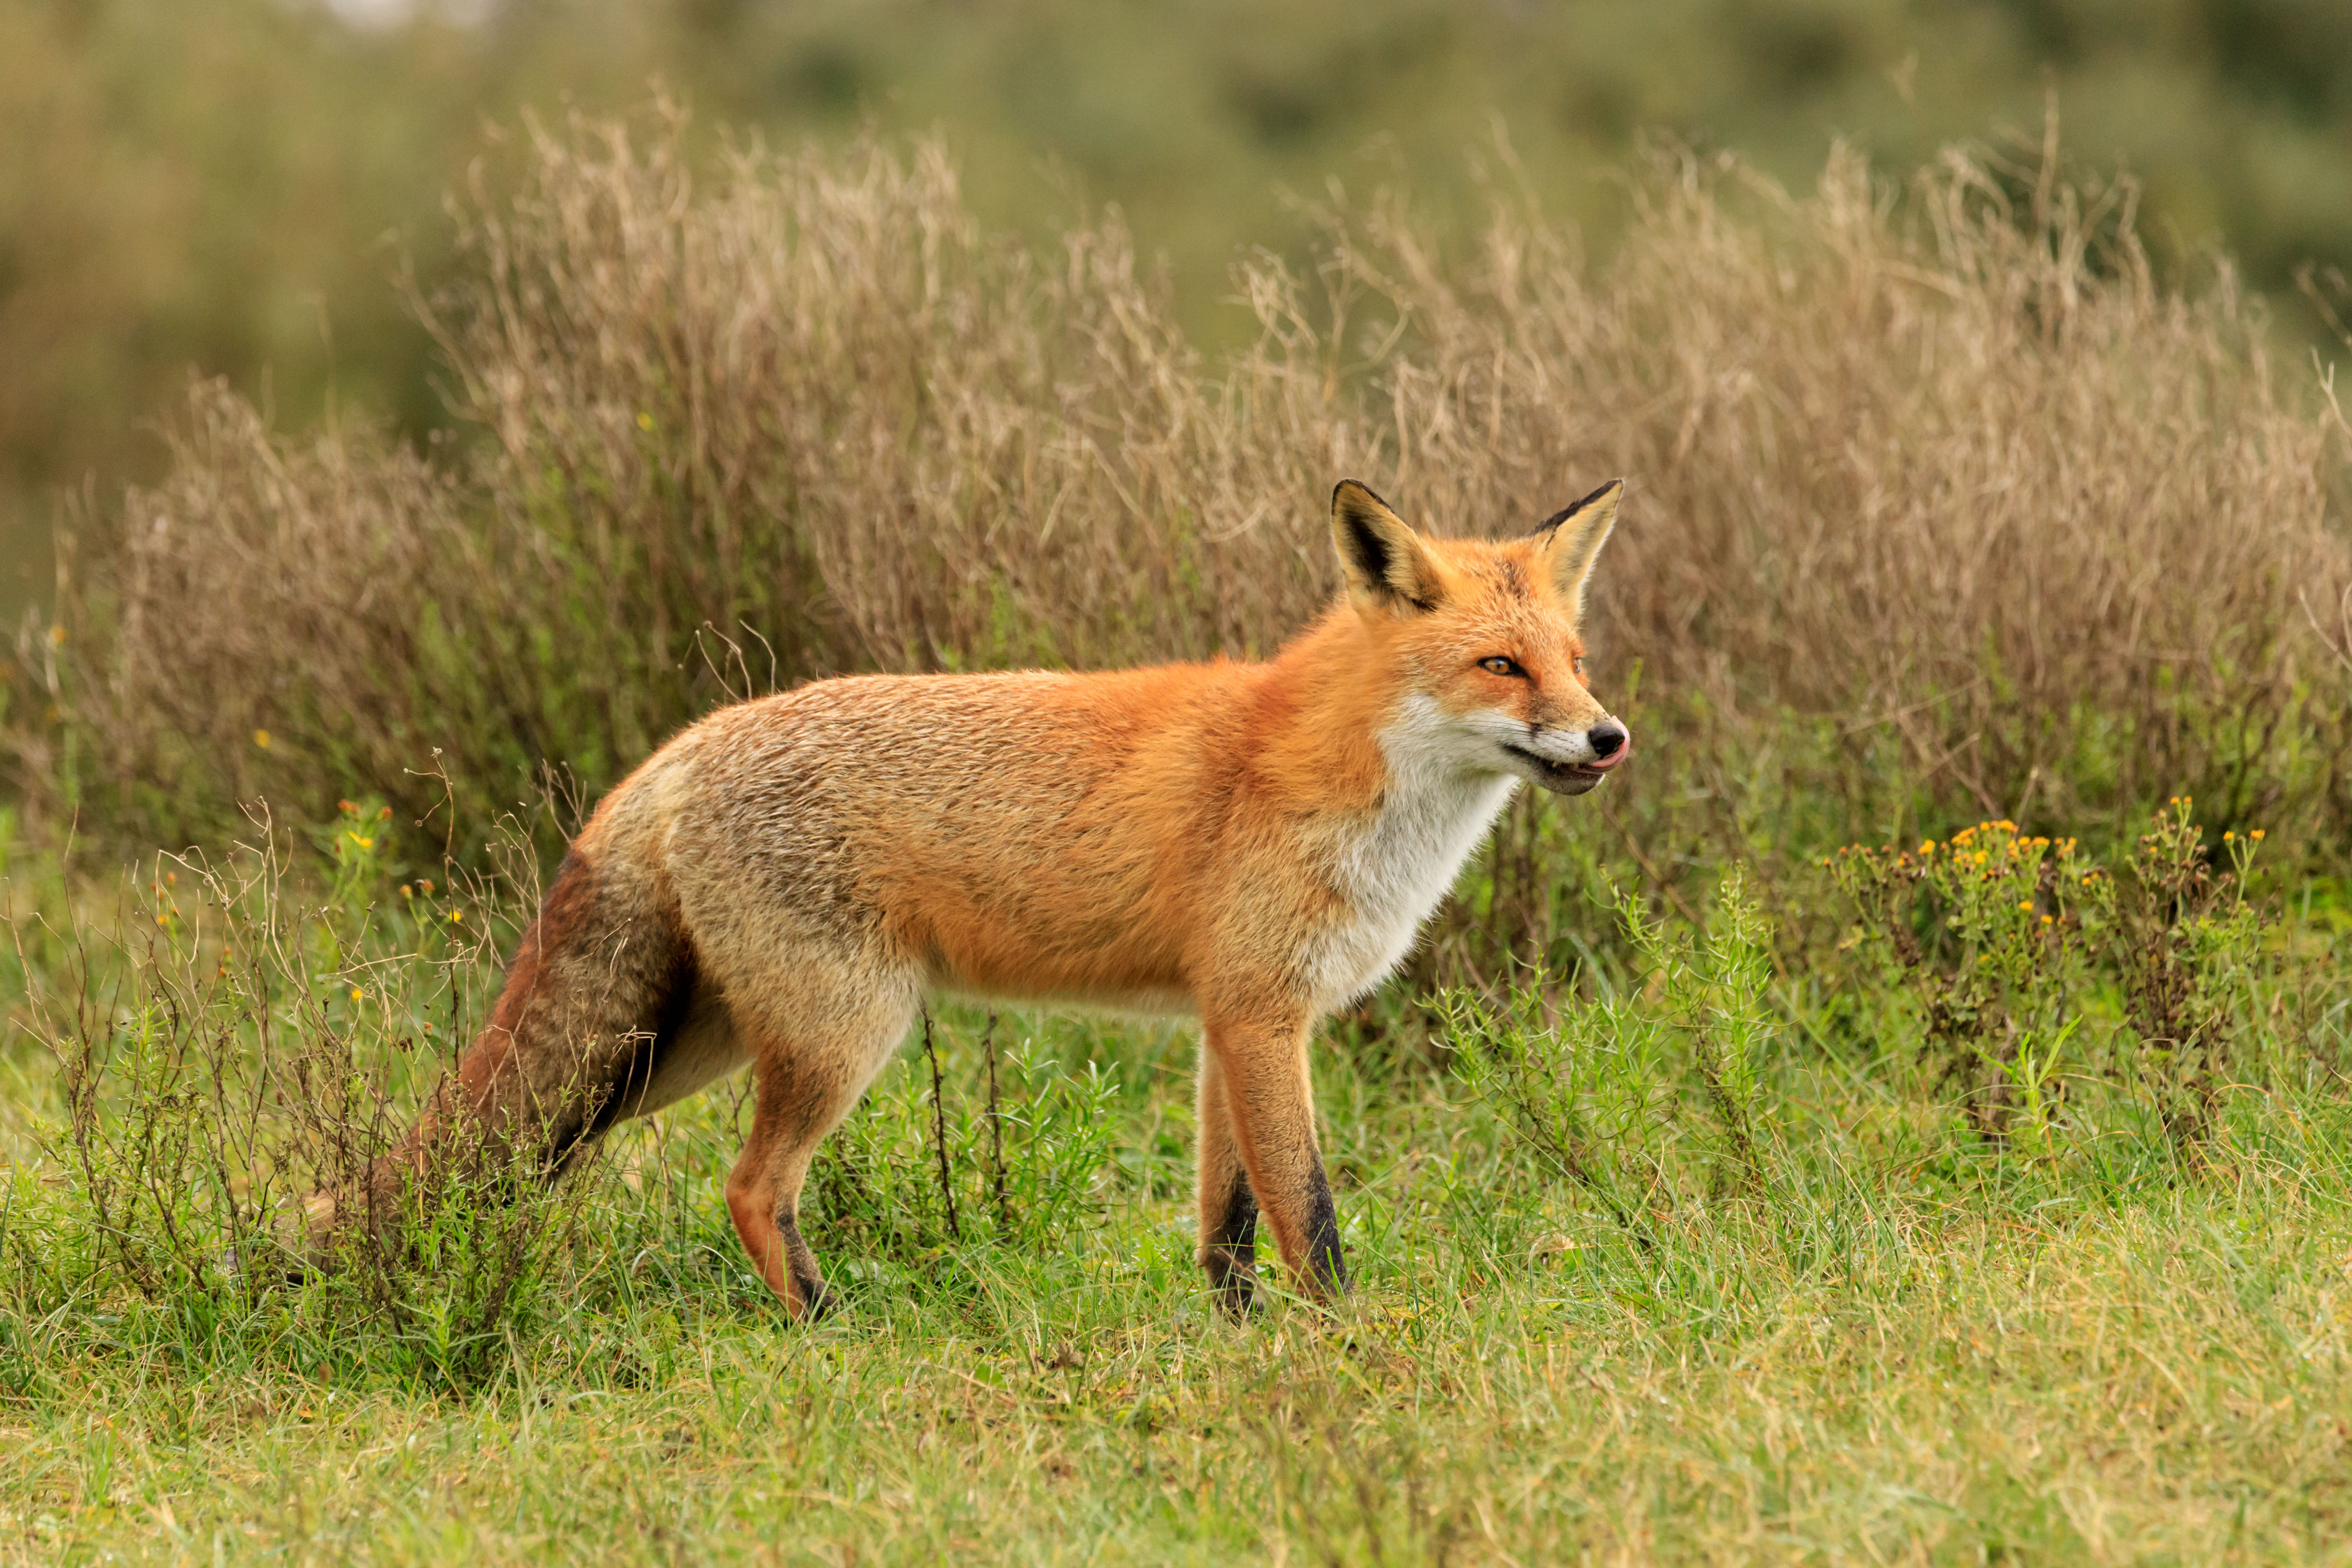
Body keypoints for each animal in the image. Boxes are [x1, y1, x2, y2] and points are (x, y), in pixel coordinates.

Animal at [330, 478, 1632, 1317]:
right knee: (750, 1186)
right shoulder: (1265, 1015)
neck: (1334, 771)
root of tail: (687, 743)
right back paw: (830, 1328)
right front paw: (1352, 1348)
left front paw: (1237, 1339)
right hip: (838, 1034)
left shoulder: (1230, 1020)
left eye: (1574, 661)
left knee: (540, 1161)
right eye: (1499, 666)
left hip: (669, 1054)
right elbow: (1307, 1213)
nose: (1608, 737)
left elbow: (1227, 1225)